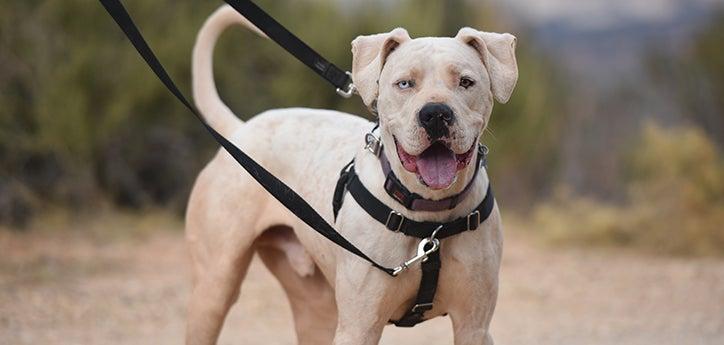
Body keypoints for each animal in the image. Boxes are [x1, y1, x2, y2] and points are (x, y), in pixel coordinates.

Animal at [184, 5, 516, 344]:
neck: (429, 215)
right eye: (404, 84)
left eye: (466, 82)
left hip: (314, 309)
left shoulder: (473, 326)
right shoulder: (359, 326)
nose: (435, 114)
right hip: (213, 289)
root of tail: (239, 127)